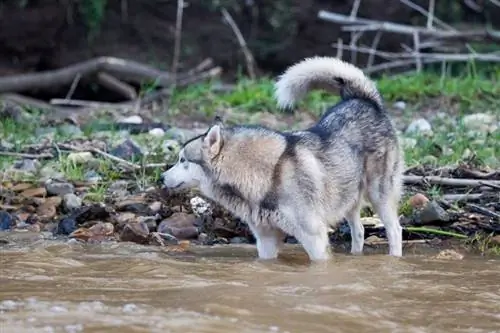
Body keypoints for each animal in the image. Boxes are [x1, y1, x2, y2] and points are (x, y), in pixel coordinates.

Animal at [160, 56, 402, 260]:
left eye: (183, 160)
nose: (161, 177)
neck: (267, 174)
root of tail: (365, 100)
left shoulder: (314, 238)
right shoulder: (265, 239)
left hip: (378, 195)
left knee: (395, 230)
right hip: (347, 199)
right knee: (359, 231)